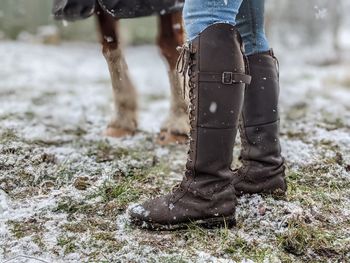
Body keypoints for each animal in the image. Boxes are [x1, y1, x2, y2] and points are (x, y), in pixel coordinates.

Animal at [52, 0, 189, 144]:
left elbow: (171, 47)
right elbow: (110, 47)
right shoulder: (103, 7)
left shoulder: (168, 5)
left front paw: (178, 125)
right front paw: (121, 122)